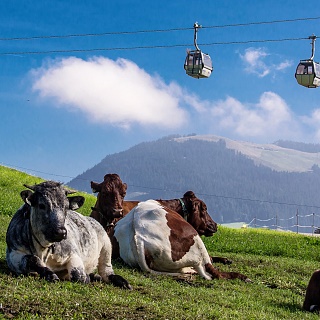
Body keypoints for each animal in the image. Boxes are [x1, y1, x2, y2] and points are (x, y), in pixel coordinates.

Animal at [112, 200, 250, 282]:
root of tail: (138, 236)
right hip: (196, 241)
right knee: (213, 271)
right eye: (204, 209)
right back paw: (242, 277)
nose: (215, 225)